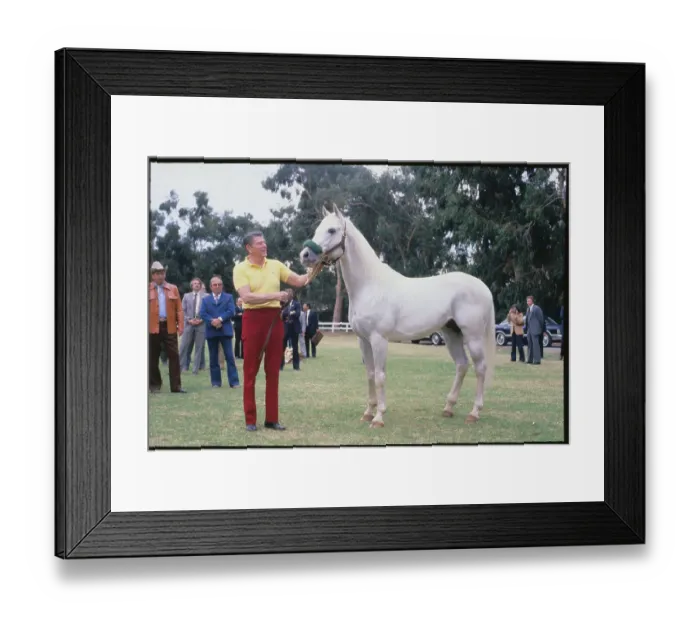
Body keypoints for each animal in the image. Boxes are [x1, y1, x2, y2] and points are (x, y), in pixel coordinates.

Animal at [299, 204, 497, 429]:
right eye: (318, 229)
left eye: (332, 230)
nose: (305, 255)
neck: (370, 285)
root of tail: (483, 287)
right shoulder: (363, 340)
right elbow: (370, 374)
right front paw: (368, 412)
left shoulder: (379, 340)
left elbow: (380, 376)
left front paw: (378, 417)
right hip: (451, 333)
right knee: (462, 365)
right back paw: (448, 408)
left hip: (473, 336)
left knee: (480, 368)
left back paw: (474, 413)